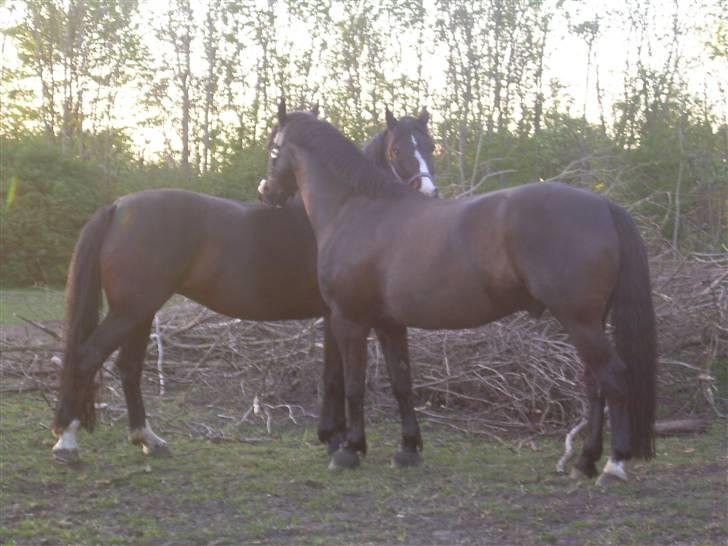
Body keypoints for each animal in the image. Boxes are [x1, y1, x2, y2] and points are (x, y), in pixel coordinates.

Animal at [52, 106, 438, 464]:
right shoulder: (338, 315)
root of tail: (118, 207)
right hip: (130, 310)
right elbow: (335, 377)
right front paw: (336, 438)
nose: (430, 193)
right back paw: (67, 442)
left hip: (140, 311)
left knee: (128, 367)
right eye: (396, 151)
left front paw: (333, 436)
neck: (342, 210)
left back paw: (147, 439)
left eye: (431, 146)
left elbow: (337, 375)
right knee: (87, 358)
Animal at [258, 104, 656, 482]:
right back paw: (585, 462)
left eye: (273, 147)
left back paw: (613, 465)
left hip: (580, 321)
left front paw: (350, 450)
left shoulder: (349, 320)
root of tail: (603, 205)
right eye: (397, 150)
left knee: (614, 378)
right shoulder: (389, 324)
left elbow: (354, 386)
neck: (358, 208)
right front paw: (408, 449)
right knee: (595, 385)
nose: (266, 192)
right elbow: (402, 383)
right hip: (589, 322)